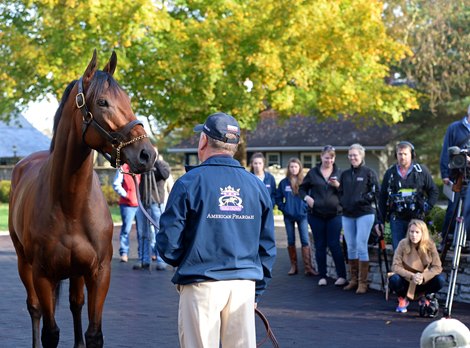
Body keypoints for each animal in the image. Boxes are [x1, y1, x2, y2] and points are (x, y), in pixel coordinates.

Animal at [8, 49, 156, 348]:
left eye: (128, 100)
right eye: (102, 102)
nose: (147, 154)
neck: (71, 205)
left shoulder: (98, 273)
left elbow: (93, 333)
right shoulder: (42, 274)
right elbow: (50, 332)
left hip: (75, 272)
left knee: (76, 304)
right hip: (23, 262)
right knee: (34, 309)